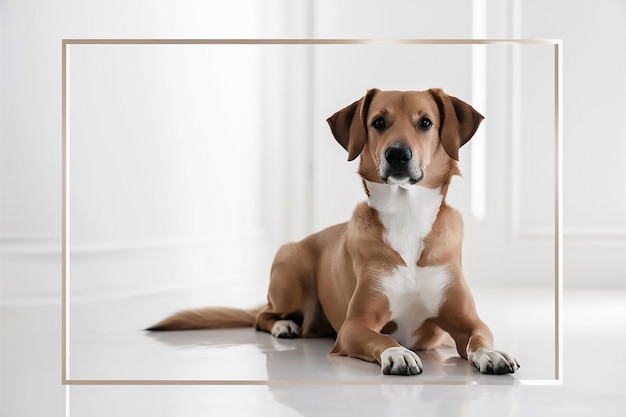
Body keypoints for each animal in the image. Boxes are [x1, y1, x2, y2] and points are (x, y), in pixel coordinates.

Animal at [146, 89, 516, 376]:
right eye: (378, 122)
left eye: (425, 122)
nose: (397, 154)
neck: (406, 218)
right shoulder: (355, 325)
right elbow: (384, 338)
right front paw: (398, 352)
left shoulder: (467, 319)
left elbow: (480, 335)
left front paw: (491, 354)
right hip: (289, 272)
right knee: (264, 315)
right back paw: (284, 325)